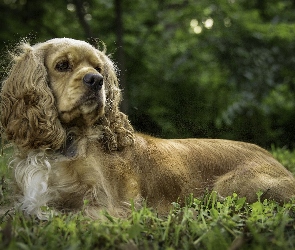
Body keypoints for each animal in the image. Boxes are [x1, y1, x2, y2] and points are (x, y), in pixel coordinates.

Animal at [0, 37, 295, 219]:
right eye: (62, 65)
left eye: (99, 68)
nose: (96, 80)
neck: (63, 145)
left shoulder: (107, 206)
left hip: (229, 188)